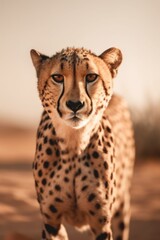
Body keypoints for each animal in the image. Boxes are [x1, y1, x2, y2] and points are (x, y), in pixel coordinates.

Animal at [30, 47, 135, 240]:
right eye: (57, 77)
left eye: (91, 77)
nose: (75, 104)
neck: (74, 144)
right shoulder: (51, 222)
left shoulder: (101, 224)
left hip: (122, 208)